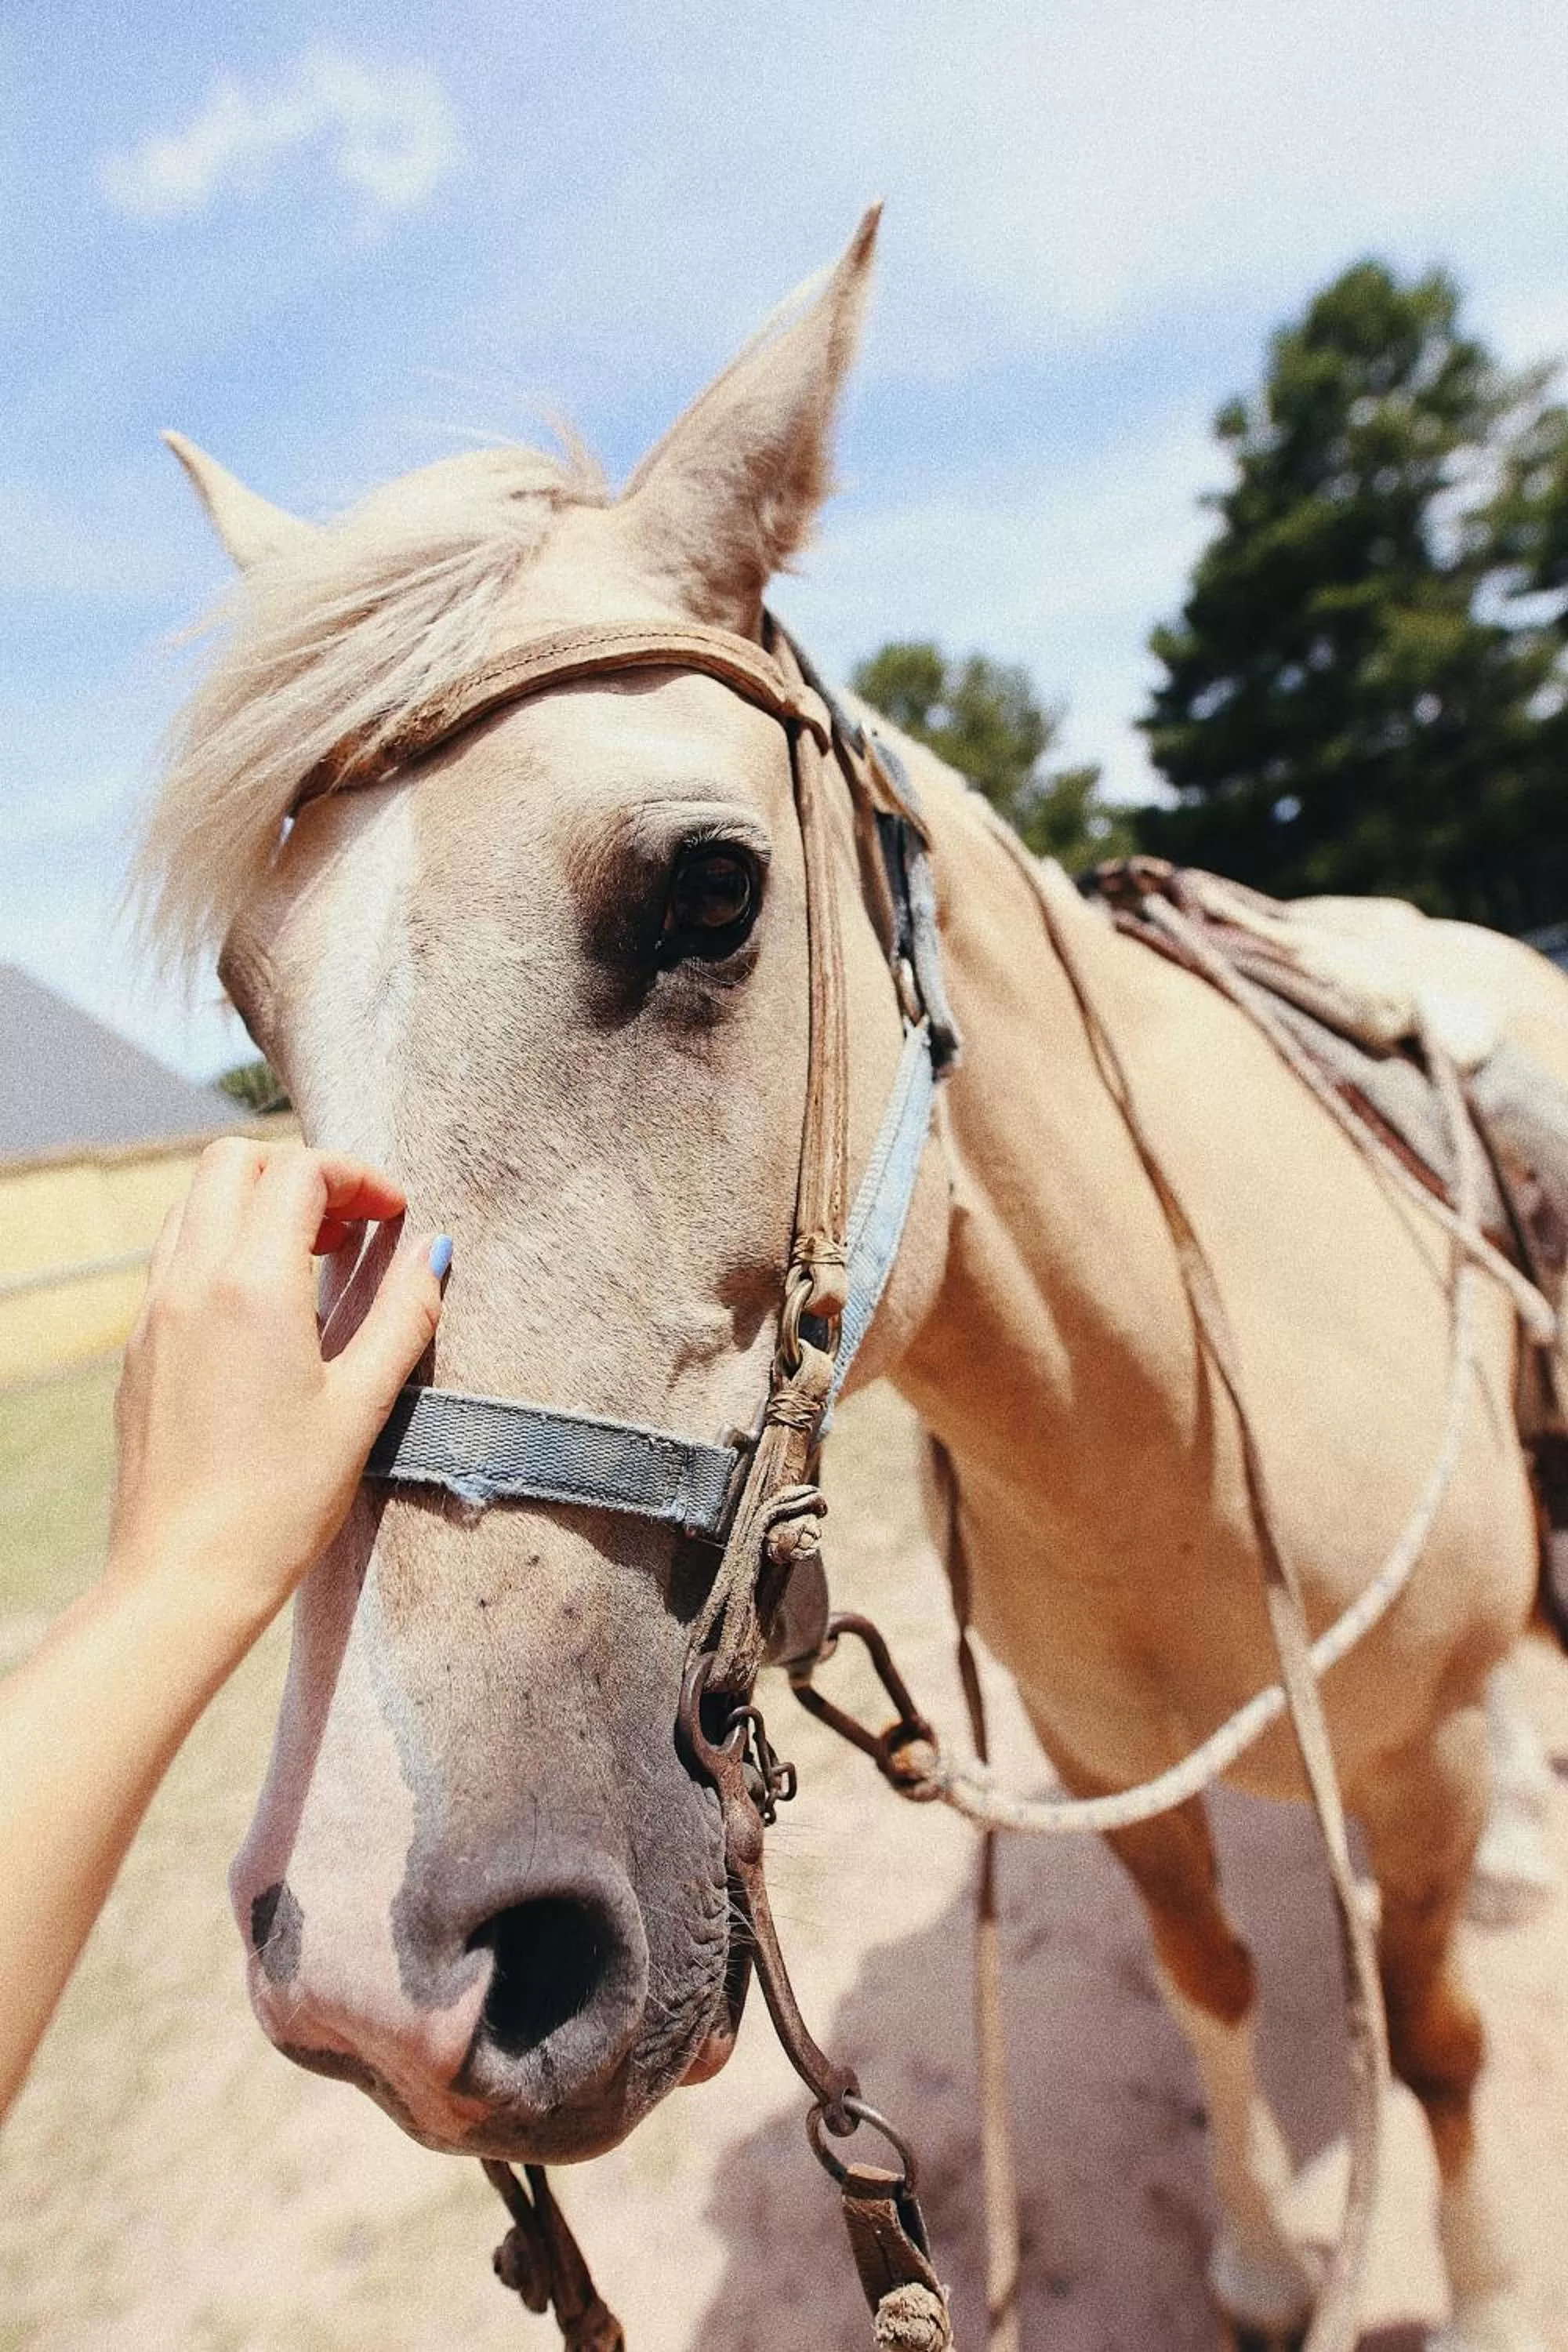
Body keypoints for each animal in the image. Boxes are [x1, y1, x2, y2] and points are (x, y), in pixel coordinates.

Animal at [137, 212, 1568, 2351]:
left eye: (710, 891)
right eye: (255, 998)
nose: (374, 1975)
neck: (1166, 1435)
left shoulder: (1425, 1760)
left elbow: (1447, 2049)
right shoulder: (1112, 1773)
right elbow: (1213, 1981)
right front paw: (1253, 2254)